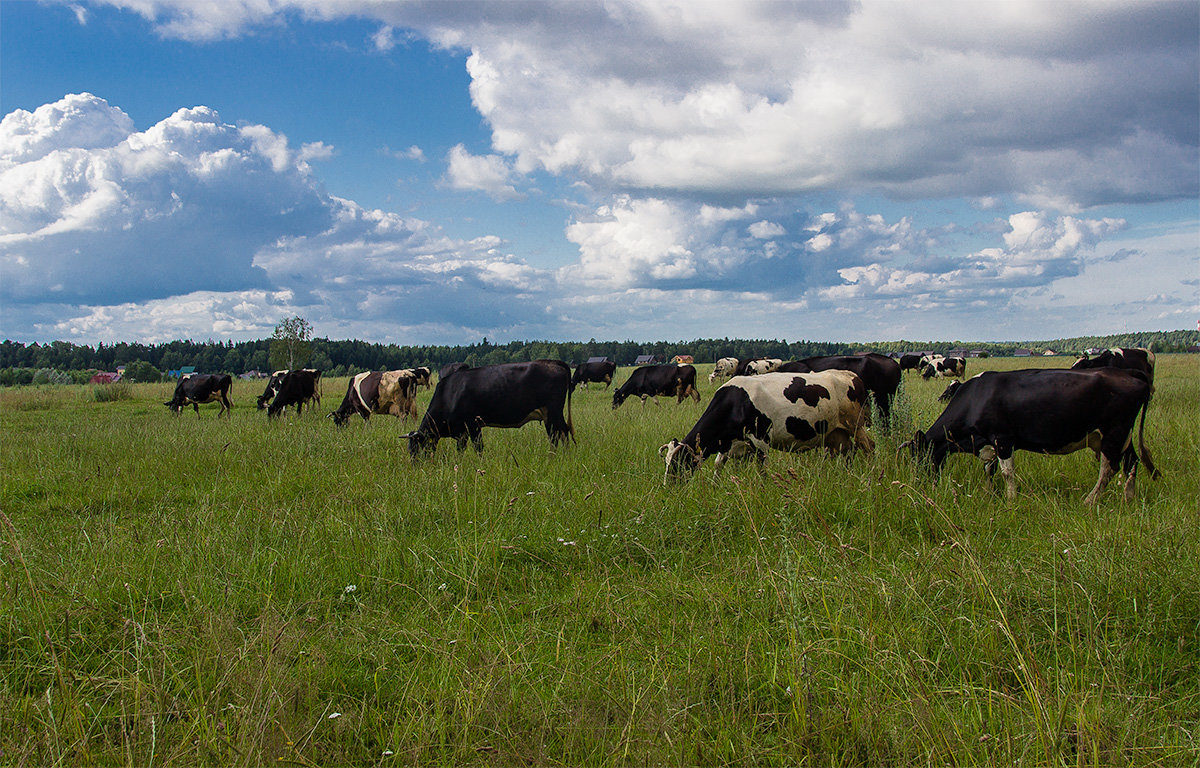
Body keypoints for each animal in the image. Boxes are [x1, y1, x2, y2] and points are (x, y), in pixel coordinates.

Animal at [403, 360, 571, 456]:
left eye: (417, 449)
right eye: (409, 451)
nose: (416, 468)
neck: (450, 394)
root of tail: (554, 363)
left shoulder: (473, 425)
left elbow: (479, 448)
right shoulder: (462, 431)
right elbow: (460, 450)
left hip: (552, 413)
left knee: (557, 434)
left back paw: (555, 457)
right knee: (562, 432)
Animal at [662, 369, 878, 480]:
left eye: (678, 462)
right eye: (666, 461)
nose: (668, 485)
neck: (736, 403)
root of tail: (851, 375)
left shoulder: (761, 441)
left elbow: (762, 471)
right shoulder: (732, 444)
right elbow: (718, 465)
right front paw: (717, 486)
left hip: (856, 424)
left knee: (869, 447)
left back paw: (871, 473)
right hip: (836, 433)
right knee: (848, 451)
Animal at [902, 369, 1156, 506]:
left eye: (918, 455)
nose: (920, 483)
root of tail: (1129, 372)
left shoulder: (1003, 439)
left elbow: (1007, 473)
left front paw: (1010, 500)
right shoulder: (990, 443)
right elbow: (989, 470)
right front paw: (989, 494)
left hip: (1114, 433)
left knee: (1109, 468)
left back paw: (1089, 501)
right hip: (1118, 437)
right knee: (1131, 462)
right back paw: (1128, 499)